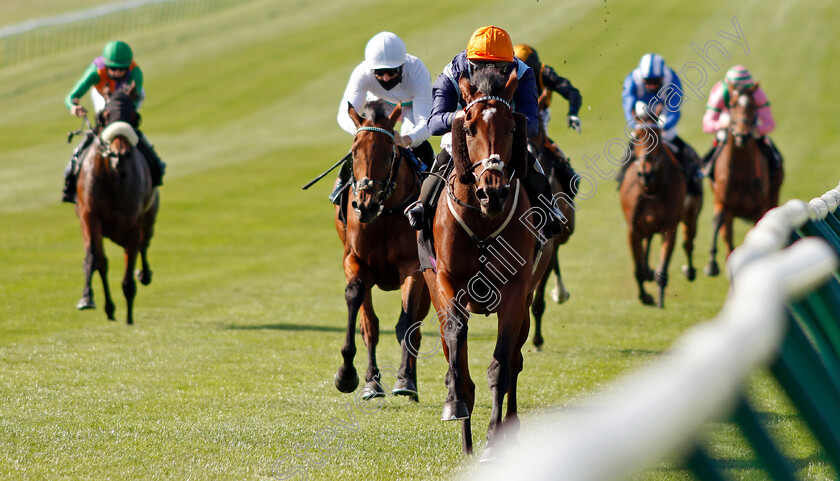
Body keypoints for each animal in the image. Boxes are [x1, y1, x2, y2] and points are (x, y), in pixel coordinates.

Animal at [74, 84, 159, 324]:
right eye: (104, 117)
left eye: (135, 118)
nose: (119, 155)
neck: (115, 179)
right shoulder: (89, 215)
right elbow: (94, 259)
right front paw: (87, 298)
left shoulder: (134, 221)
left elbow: (130, 266)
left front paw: (129, 318)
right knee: (102, 262)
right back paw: (109, 308)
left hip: (150, 214)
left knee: (144, 244)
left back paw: (144, 275)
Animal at [334, 100, 430, 402]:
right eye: (354, 152)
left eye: (389, 154)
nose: (365, 204)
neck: (385, 214)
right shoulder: (354, 261)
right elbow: (366, 320)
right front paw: (354, 377)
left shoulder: (413, 266)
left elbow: (406, 323)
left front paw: (404, 378)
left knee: (418, 326)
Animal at [424, 69, 556, 460]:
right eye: (468, 129)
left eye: (512, 128)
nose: (493, 192)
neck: (482, 221)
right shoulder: (448, 281)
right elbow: (456, 341)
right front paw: (456, 404)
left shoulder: (515, 292)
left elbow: (502, 365)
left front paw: (494, 438)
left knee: (515, 360)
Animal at [616, 105, 704, 308]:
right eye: (637, 136)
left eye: (656, 135)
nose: (646, 172)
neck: (651, 188)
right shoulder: (632, 229)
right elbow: (638, 267)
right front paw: (645, 296)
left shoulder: (669, 226)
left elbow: (662, 269)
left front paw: (659, 299)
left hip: (691, 215)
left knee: (688, 243)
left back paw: (690, 270)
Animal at [704, 81, 784, 274]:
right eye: (732, 105)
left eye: (754, 105)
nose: (743, 135)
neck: (740, 174)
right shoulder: (722, 203)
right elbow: (719, 227)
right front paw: (711, 263)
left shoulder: (759, 208)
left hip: (774, 196)